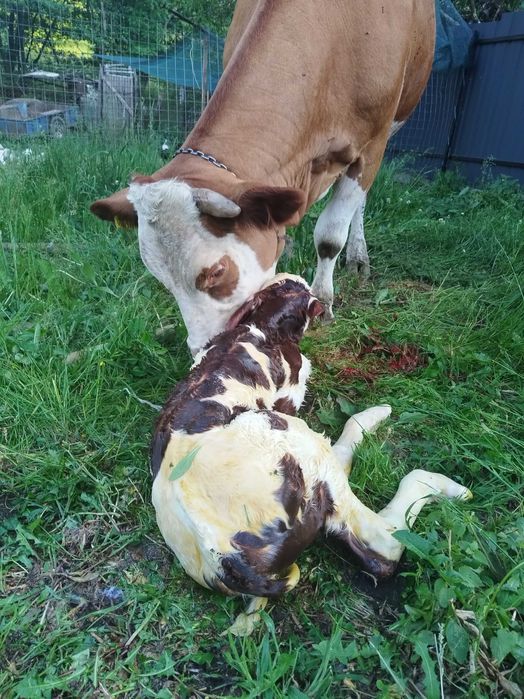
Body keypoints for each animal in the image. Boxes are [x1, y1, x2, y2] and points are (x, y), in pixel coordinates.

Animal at [91, 0, 435, 355]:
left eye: (218, 271)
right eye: (161, 277)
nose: (202, 350)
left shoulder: (373, 143)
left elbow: (329, 236)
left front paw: (324, 302)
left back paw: (357, 255)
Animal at [150, 274, 472, 635]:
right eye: (300, 291)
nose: (300, 278)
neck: (262, 327)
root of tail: (225, 560)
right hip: (294, 439)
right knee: (384, 543)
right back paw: (444, 482)